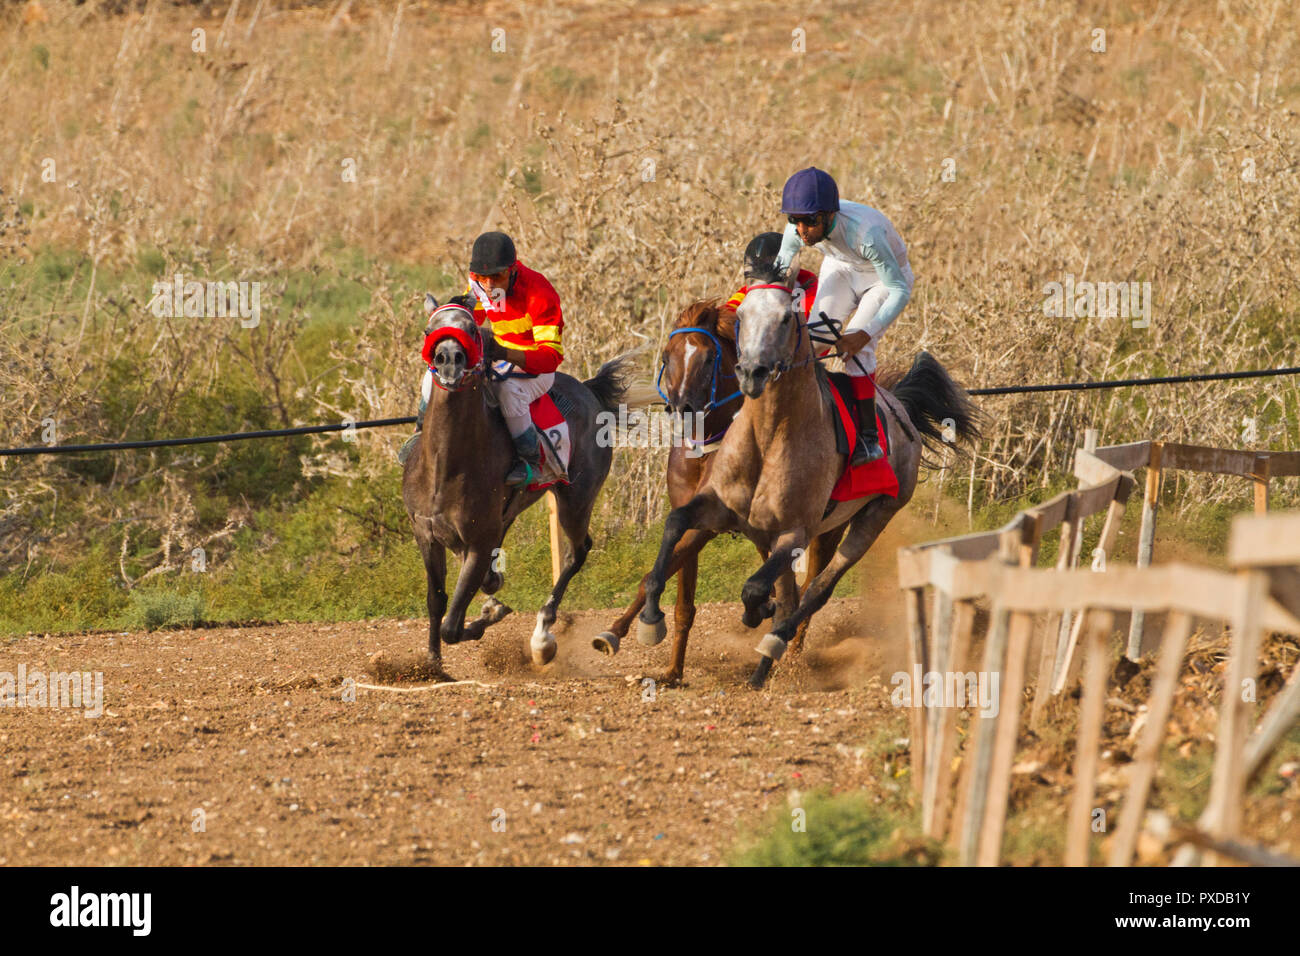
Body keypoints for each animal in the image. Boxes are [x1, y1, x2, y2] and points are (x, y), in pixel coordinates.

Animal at [402, 300, 635, 679]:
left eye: (470, 329)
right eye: (429, 330)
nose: (449, 359)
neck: (444, 466)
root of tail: (589, 390)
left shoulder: (479, 540)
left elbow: (453, 623)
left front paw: (488, 615)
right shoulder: (427, 534)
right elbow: (437, 601)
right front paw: (432, 664)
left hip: (575, 499)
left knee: (577, 552)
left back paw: (542, 638)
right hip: (511, 513)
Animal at [591, 298, 841, 685]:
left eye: (709, 358)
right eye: (668, 355)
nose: (682, 407)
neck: (705, 447)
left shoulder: (708, 524)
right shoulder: (691, 512)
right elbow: (676, 596)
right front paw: (662, 663)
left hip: (825, 529)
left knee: (811, 585)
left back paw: (792, 651)